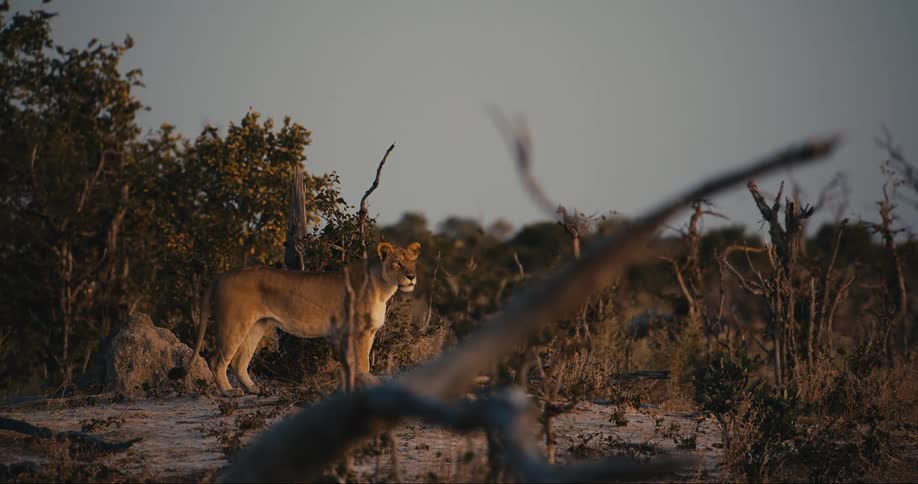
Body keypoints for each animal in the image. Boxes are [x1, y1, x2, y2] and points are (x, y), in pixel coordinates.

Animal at [170, 241, 421, 396]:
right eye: (397, 262)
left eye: (412, 261)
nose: (411, 276)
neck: (383, 287)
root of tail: (222, 275)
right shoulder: (358, 332)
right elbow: (363, 364)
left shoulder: (366, 333)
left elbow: (360, 364)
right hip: (234, 324)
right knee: (216, 360)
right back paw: (229, 392)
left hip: (256, 326)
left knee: (239, 362)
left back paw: (254, 389)